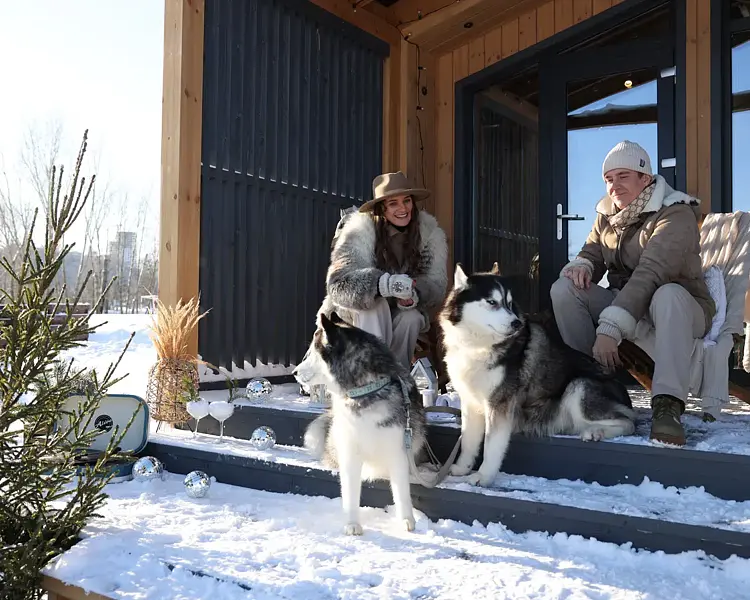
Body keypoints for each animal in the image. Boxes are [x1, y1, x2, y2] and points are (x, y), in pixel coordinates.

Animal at [292, 312, 426, 536]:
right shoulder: (349, 452)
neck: (366, 390)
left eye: (311, 354)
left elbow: (401, 491)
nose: (293, 372)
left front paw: (406, 519)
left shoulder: (398, 451)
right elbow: (350, 492)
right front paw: (352, 523)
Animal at [444, 266, 636, 488]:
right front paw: (462, 468)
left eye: (509, 303)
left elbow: (492, 445)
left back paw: (597, 431)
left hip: (577, 388)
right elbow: (467, 440)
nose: (516, 323)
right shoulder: (470, 401)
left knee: (629, 422)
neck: (479, 346)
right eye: (492, 302)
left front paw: (484, 476)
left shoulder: (500, 404)